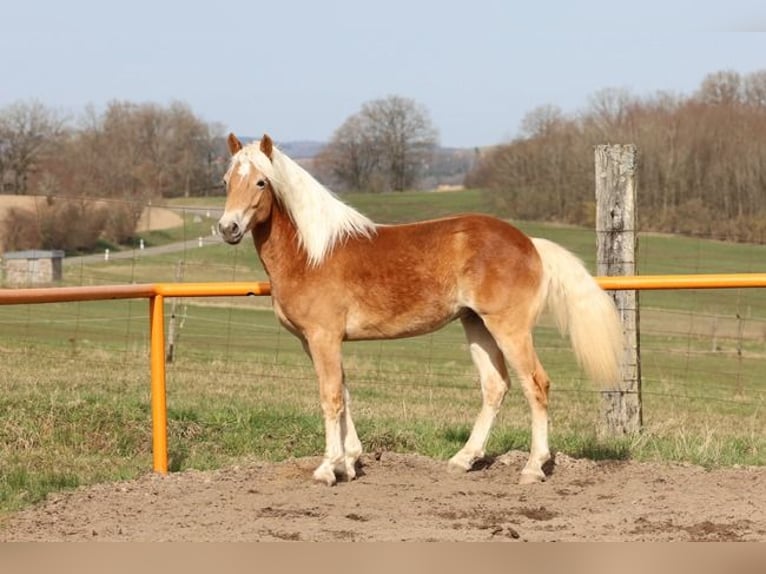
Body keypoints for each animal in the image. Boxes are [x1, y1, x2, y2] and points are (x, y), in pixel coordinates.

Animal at [217, 133, 623, 486]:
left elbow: (330, 398)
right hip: (477, 326)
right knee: (495, 387)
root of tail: (530, 243)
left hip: (509, 328)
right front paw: (350, 462)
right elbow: (345, 393)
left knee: (536, 384)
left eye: (261, 183)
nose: (227, 228)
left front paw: (328, 468)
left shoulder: (323, 338)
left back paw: (533, 468)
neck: (311, 253)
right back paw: (463, 459)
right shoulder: (317, 342)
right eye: (226, 181)